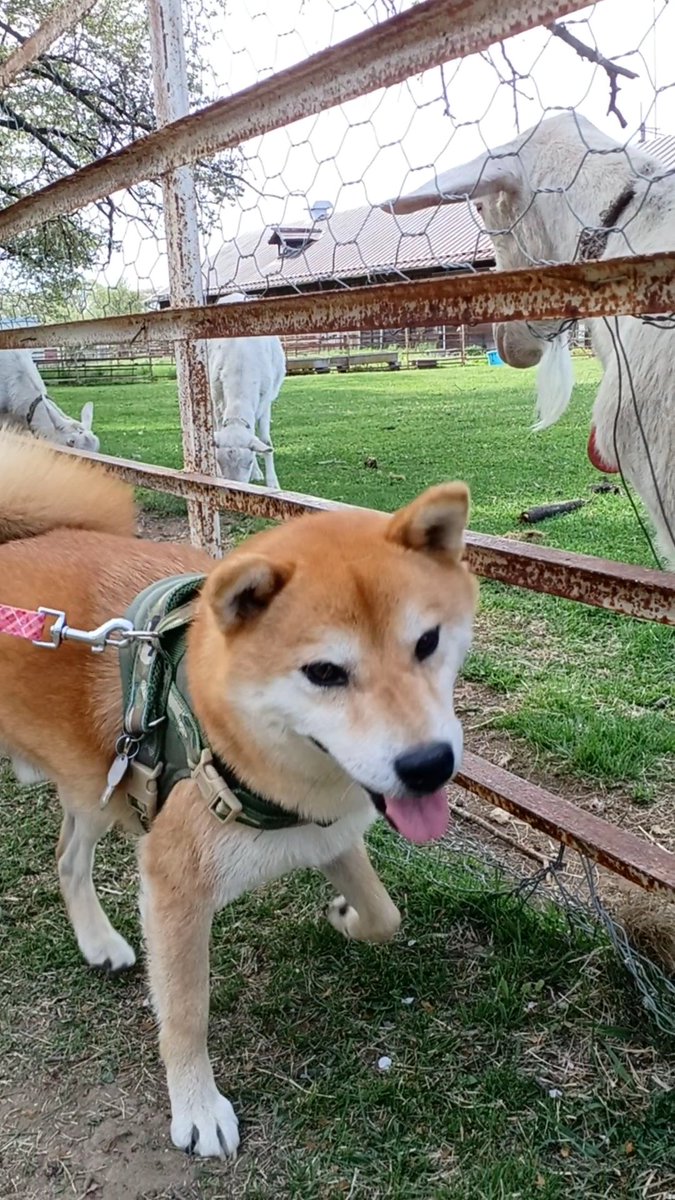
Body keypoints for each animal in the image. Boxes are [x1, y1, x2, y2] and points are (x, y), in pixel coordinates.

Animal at [0, 429, 478, 1152]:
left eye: (427, 642)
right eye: (324, 672)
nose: (427, 765)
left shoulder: (326, 831)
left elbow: (384, 915)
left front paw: (345, 915)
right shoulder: (174, 889)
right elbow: (186, 1012)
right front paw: (196, 1108)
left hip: (96, 783)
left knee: (67, 859)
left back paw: (98, 942)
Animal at [207, 292, 285, 489]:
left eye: (248, 462)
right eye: (219, 461)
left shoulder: (265, 401)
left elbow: (265, 441)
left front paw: (272, 483)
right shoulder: (218, 399)